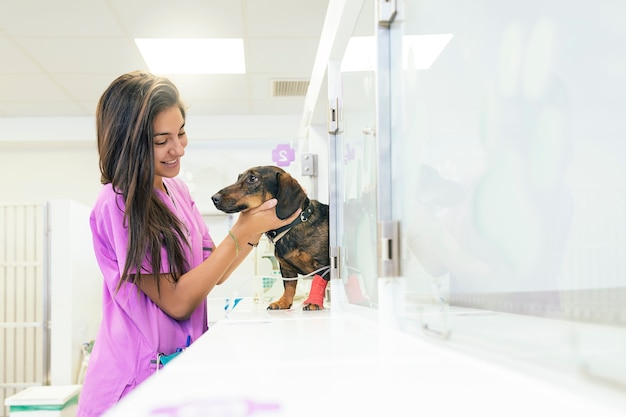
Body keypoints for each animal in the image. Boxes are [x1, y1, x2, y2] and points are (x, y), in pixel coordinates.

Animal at [210, 165, 330, 308]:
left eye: (253, 178)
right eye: (238, 177)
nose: (214, 198)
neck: (294, 225)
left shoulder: (323, 265)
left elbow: (318, 281)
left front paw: (313, 303)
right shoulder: (286, 269)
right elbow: (289, 287)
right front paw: (283, 302)